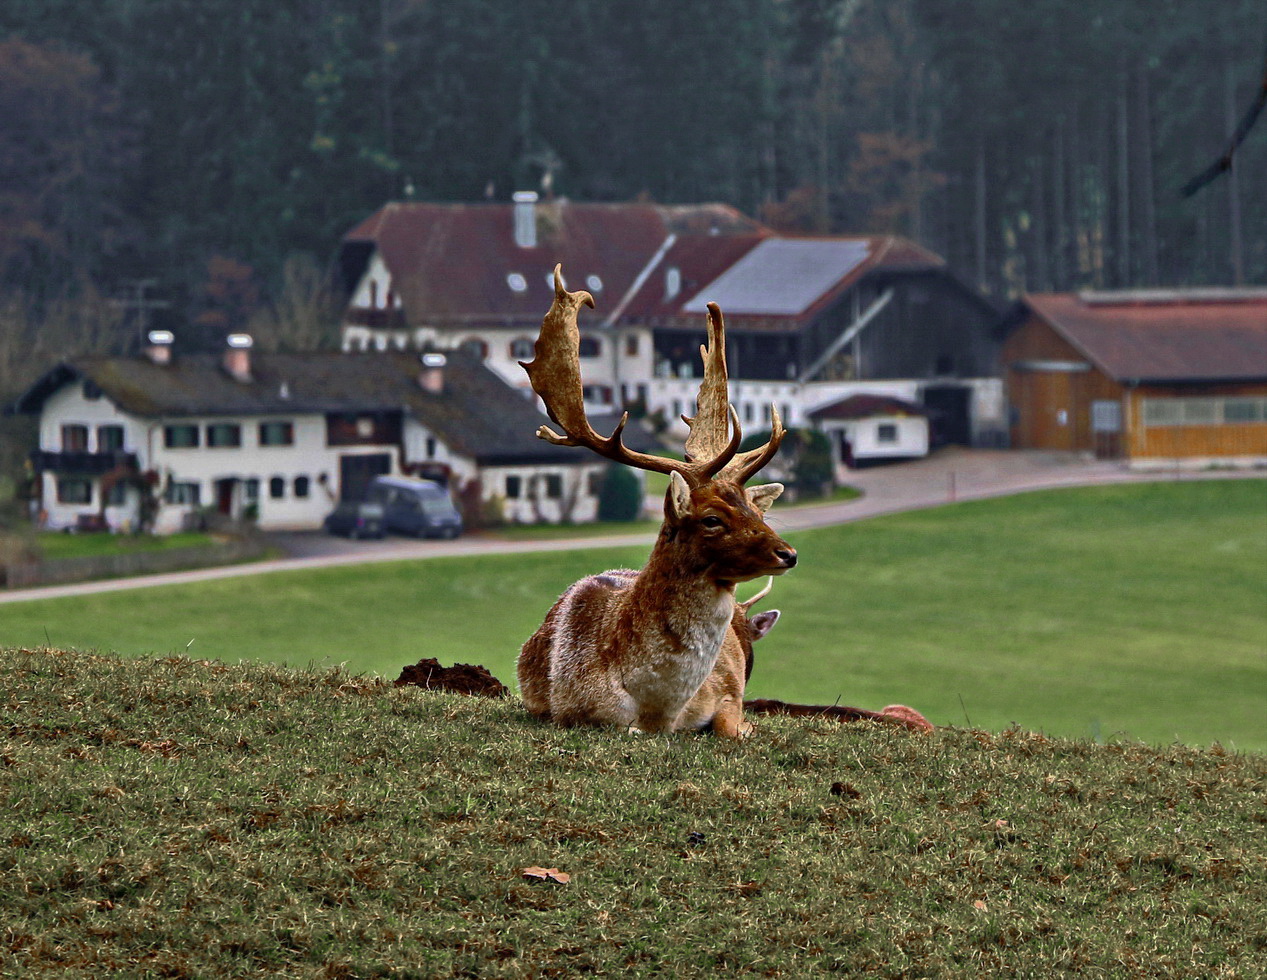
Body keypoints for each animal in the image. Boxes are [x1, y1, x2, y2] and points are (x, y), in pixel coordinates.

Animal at [514, 263, 790, 740]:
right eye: (711, 519)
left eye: (757, 511)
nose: (787, 553)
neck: (656, 710)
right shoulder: (568, 711)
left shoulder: (727, 690)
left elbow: (729, 724)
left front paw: (747, 729)